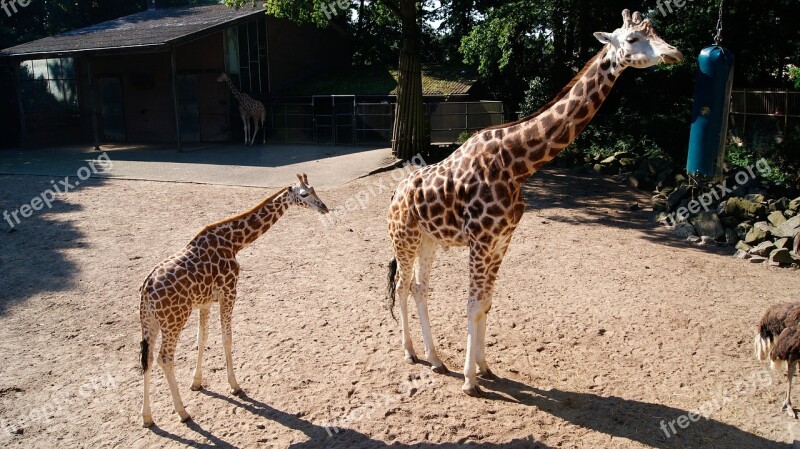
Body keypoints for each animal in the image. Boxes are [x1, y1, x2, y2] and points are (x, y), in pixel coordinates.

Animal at [138, 173, 328, 426]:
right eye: (304, 194)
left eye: (315, 189)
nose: (324, 207)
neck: (234, 242)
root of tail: (146, 290)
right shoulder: (229, 292)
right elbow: (227, 338)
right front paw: (235, 385)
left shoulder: (205, 302)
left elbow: (202, 338)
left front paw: (197, 382)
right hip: (174, 320)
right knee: (165, 358)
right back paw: (183, 412)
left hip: (150, 322)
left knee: (147, 359)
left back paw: (147, 417)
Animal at [386, 9, 680, 396]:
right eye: (632, 39)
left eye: (656, 31)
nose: (675, 53)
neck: (517, 165)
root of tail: (395, 193)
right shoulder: (481, 241)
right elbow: (472, 305)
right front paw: (469, 380)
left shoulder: (501, 241)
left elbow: (487, 304)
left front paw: (485, 367)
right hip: (404, 240)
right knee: (403, 287)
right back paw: (409, 352)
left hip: (428, 241)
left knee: (420, 288)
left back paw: (435, 359)